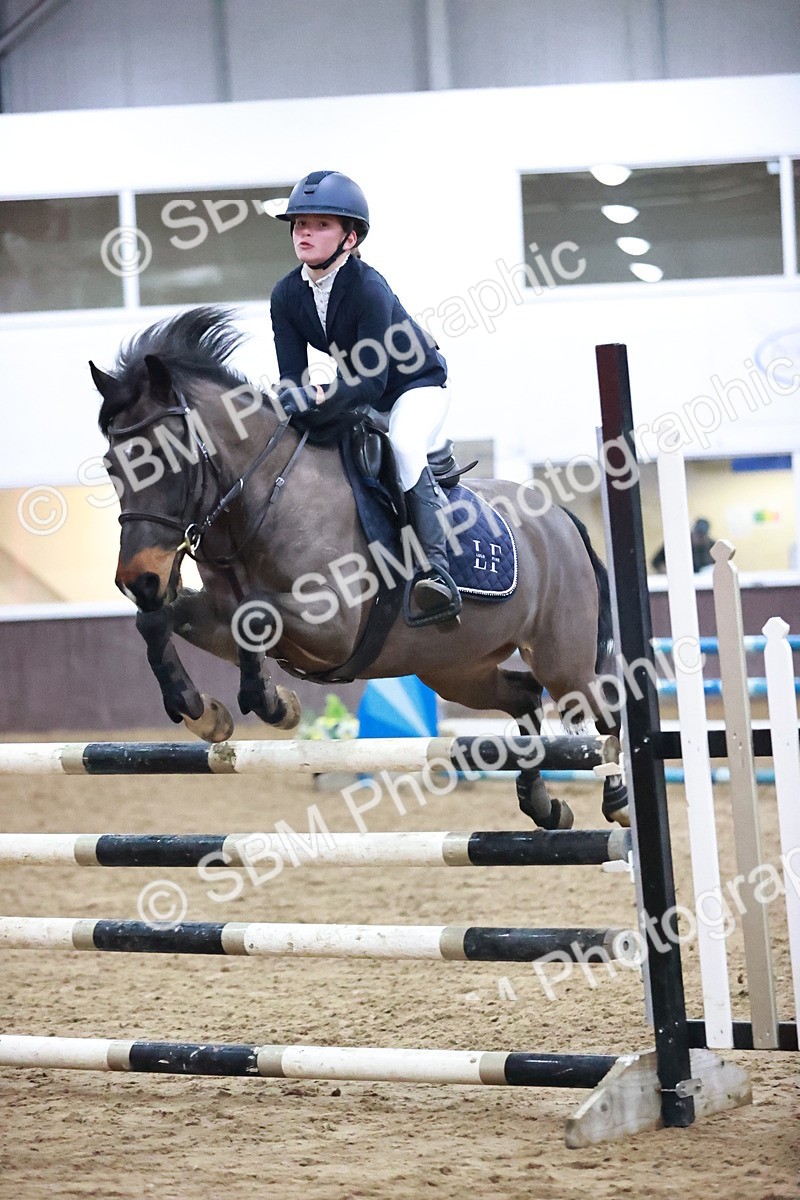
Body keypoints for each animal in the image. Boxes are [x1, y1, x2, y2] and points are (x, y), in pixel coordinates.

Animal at [90, 307, 628, 830]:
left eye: (164, 459)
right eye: (111, 466)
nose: (138, 580)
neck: (265, 499)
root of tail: (559, 516)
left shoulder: (334, 625)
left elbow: (256, 613)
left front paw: (275, 705)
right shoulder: (216, 619)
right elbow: (159, 621)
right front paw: (203, 712)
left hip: (562, 660)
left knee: (601, 710)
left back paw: (618, 802)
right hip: (455, 668)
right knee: (523, 695)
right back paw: (542, 805)